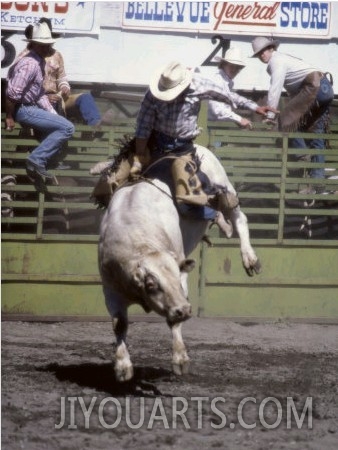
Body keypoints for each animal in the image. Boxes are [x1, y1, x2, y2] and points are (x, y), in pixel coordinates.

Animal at [95, 140, 262, 380]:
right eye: (151, 284)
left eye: (176, 277)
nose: (185, 309)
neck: (138, 239)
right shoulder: (111, 289)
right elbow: (119, 324)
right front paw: (123, 366)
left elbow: (174, 321)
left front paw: (180, 360)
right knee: (224, 220)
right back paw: (223, 226)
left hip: (224, 186)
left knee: (239, 218)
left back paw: (249, 258)